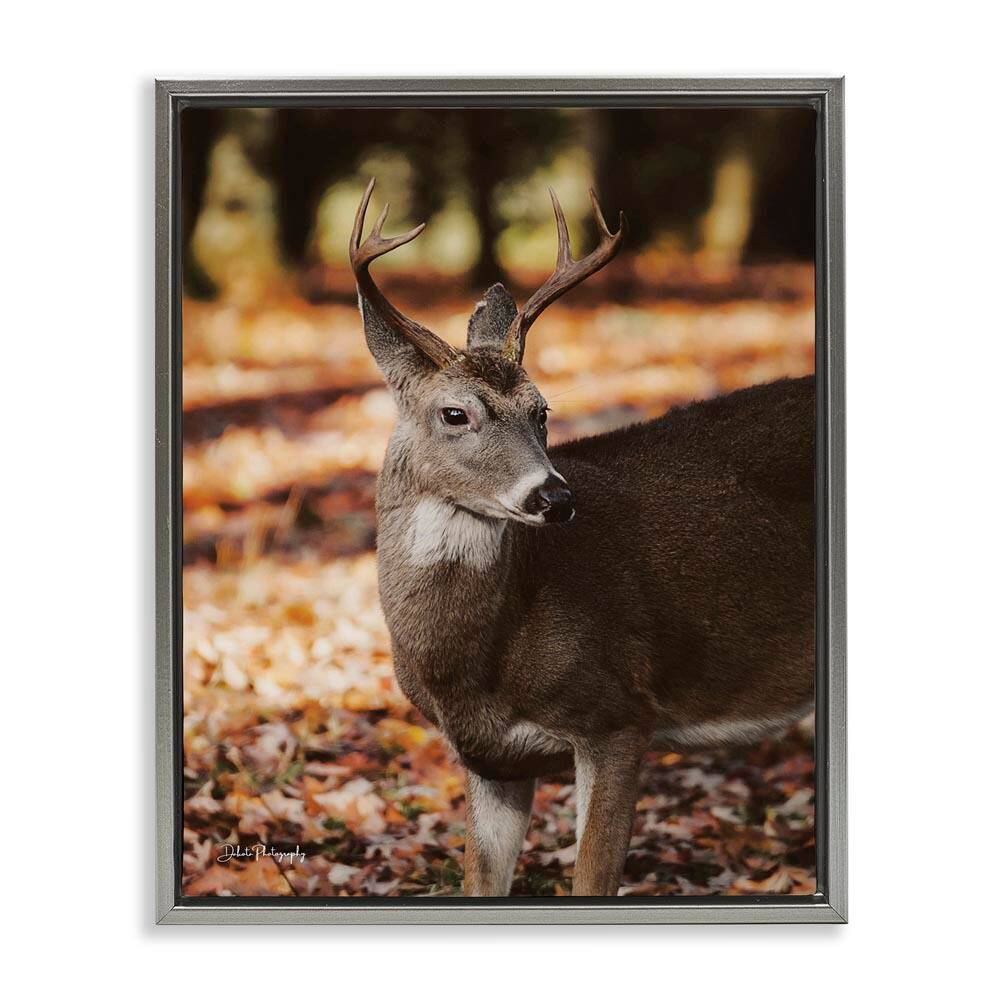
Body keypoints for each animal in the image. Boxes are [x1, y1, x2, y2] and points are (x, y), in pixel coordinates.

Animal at [349, 178, 815, 897]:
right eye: (455, 413)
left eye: (542, 411)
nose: (556, 498)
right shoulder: (491, 761)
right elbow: (481, 883)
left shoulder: (619, 713)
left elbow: (593, 879)